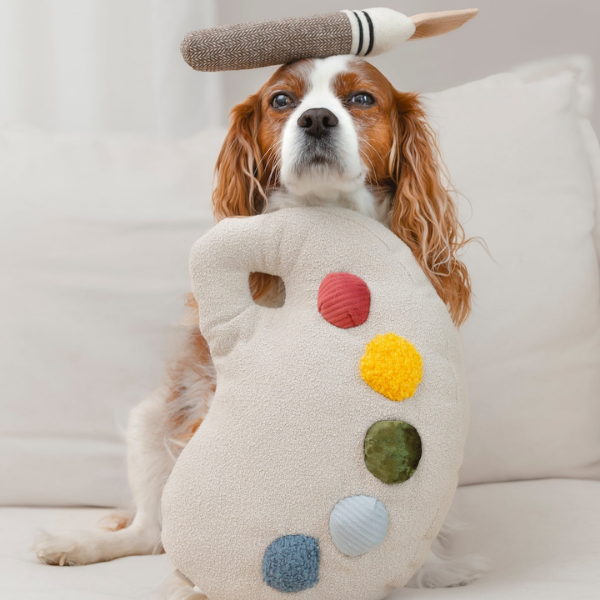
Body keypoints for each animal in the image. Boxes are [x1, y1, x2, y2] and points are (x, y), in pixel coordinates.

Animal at [35, 55, 489, 596]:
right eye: (281, 101)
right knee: (148, 533)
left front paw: (424, 569)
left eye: (361, 99)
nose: (316, 119)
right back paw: (82, 545)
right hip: (149, 422)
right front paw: (198, 581)